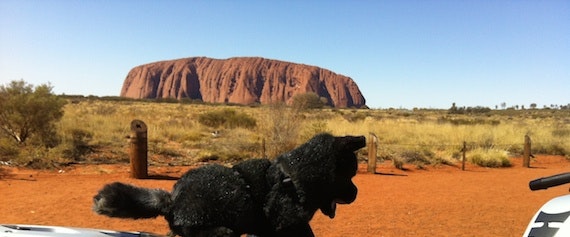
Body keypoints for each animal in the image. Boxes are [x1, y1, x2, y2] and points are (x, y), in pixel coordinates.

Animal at [93, 132, 364, 236]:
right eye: (348, 177)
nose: (356, 193)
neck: (291, 177)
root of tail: (172, 201)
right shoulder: (285, 226)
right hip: (222, 231)